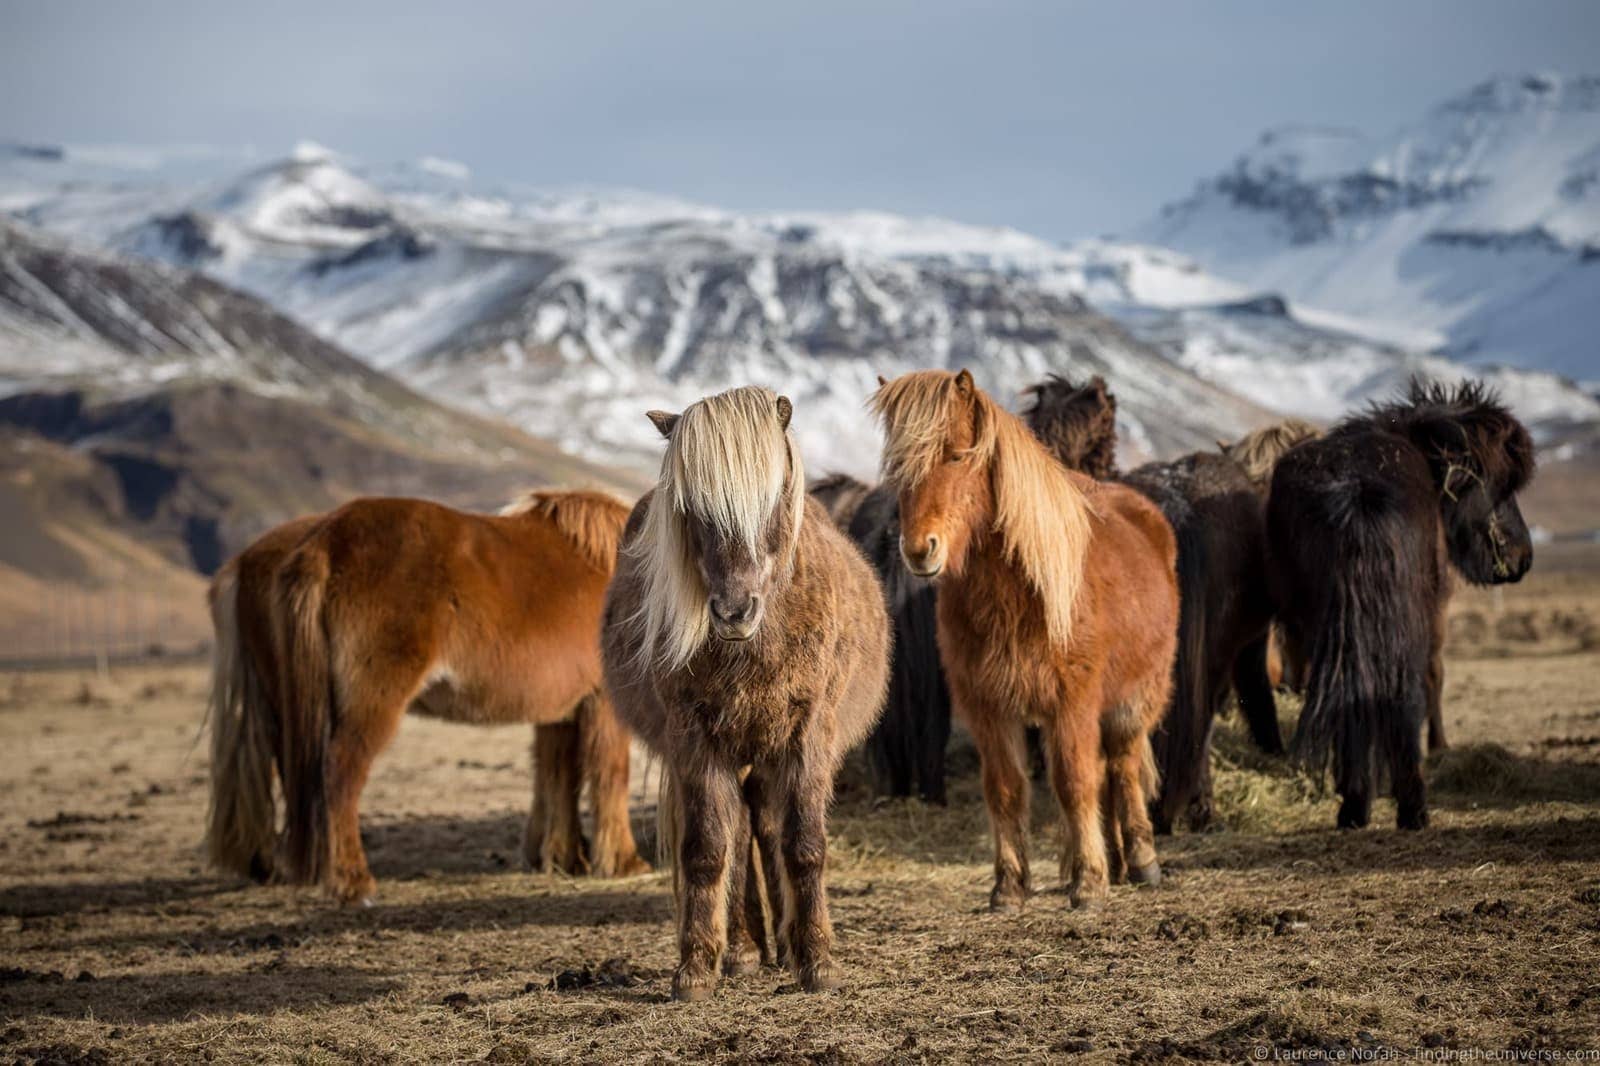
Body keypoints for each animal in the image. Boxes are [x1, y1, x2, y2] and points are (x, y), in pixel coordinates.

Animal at [206, 486, 649, 896]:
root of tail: (322, 544)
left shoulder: (560, 709)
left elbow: (556, 776)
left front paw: (562, 858)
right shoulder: (602, 703)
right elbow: (610, 775)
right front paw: (623, 862)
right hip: (370, 704)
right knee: (337, 774)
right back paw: (352, 881)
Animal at [604, 384, 896, 998]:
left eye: (774, 496)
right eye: (691, 509)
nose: (734, 612)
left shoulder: (808, 736)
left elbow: (804, 845)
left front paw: (818, 961)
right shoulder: (694, 739)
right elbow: (708, 850)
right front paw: (695, 969)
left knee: (766, 825)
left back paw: (783, 947)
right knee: (740, 833)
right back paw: (742, 950)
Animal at [870, 368, 1184, 902]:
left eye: (957, 455)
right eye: (897, 467)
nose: (918, 550)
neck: (1021, 594)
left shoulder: (1072, 703)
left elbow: (1074, 783)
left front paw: (1089, 884)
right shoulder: (988, 709)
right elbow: (1005, 789)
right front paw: (1010, 886)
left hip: (1135, 698)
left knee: (1121, 767)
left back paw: (1141, 861)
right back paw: (1113, 861)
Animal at [1267, 377, 1529, 825]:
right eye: (1500, 486)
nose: (1522, 556)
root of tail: (1356, 490)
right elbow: (1428, 680)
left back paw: (1356, 801)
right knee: (1402, 691)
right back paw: (1407, 805)